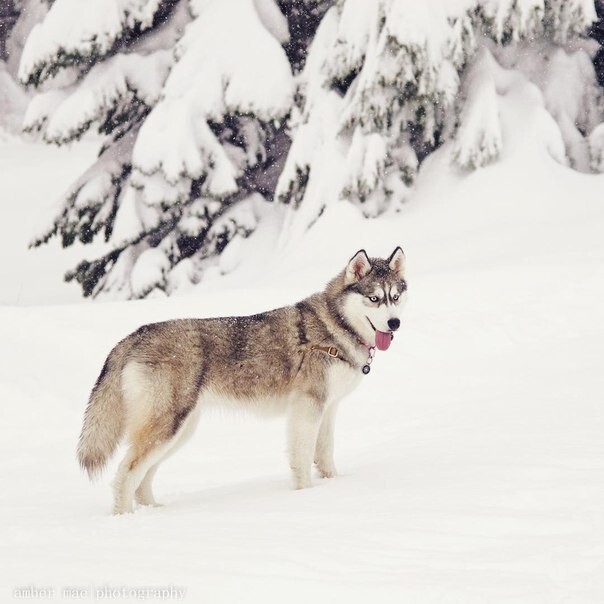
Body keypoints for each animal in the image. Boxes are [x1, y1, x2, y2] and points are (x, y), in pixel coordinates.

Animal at [76, 248, 406, 512]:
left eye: (395, 297)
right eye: (374, 298)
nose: (395, 323)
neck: (334, 327)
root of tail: (134, 335)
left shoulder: (328, 408)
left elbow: (324, 455)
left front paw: (332, 484)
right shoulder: (307, 408)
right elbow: (301, 458)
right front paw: (305, 495)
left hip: (179, 430)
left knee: (143, 478)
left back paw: (154, 511)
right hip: (168, 426)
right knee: (126, 474)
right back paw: (126, 518)